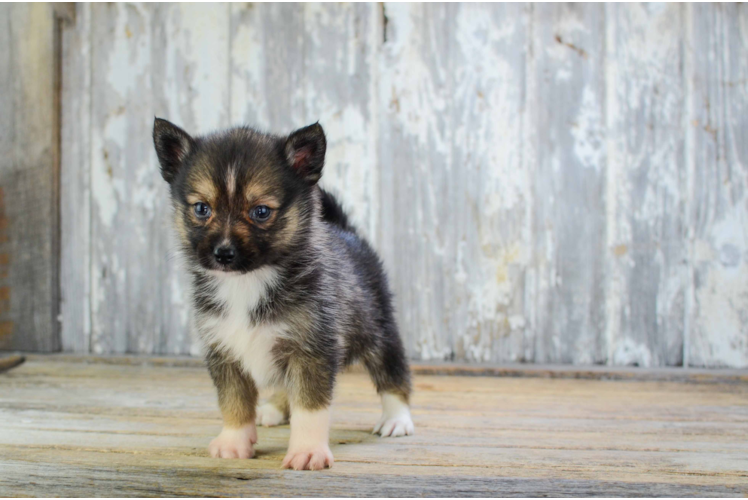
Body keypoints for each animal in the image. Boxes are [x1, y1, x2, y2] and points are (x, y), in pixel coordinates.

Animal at [153, 119, 414, 470]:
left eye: (261, 212)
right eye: (202, 208)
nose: (223, 253)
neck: (248, 282)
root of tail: (346, 232)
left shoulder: (312, 350)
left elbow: (310, 407)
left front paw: (307, 451)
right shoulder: (224, 350)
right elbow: (233, 401)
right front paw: (234, 441)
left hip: (378, 330)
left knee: (392, 373)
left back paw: (397, 418)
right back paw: (274, 408)